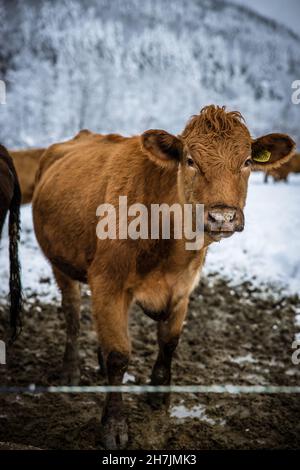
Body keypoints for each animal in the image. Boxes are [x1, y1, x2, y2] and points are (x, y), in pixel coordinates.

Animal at [31, 105, 294, 448]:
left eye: (247, 161)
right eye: (190, 160)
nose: (222, 216)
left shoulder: (183, 288)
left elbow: (169, 342)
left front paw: (157, 394)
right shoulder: (108, 283)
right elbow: (119, 354)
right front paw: (114, 425)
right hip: (60, 264)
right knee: (73, 314)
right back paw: (70, 372)